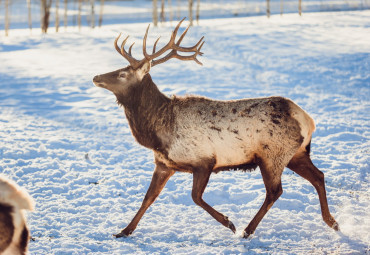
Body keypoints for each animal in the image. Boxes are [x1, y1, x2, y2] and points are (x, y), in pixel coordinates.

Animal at [92, 18, 338, 239]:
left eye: (122, 74)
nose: (95, 77)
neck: (157, 134)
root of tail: (307, 119)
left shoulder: (204, 161)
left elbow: (195, 197)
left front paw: (229, 222)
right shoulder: (164, 164)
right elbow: (148, 198)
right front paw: (124, 231)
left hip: (272, 155)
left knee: (275, 191)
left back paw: (247, 230)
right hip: (296, 153)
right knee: (319, 176)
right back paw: (332, 222)